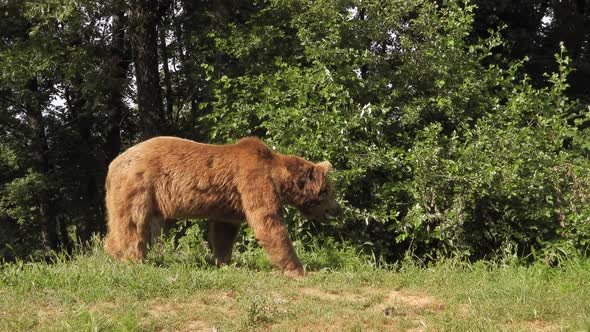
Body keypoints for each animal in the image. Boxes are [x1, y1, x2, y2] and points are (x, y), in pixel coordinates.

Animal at [104, 136, 340, 276]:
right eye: (329, 190)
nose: (337, 210)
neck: (278, 177)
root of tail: (113, 163)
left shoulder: (230, 205)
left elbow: (224, 232)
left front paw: (225, 262)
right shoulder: (254, 181)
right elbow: (268, 223)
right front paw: (298, 269)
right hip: (139, 186)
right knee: (132, 224)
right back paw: (131, 258)